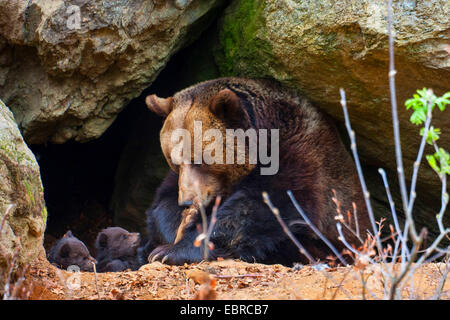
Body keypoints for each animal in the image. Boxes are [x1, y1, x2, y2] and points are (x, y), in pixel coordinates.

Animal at [141, 77, 370, 264]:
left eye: (199, 160)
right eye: (173, 161)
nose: (187, 201)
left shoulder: (300, 155)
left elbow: (260, 209)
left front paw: (171, 251)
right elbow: (163, 202)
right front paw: (174, 232)